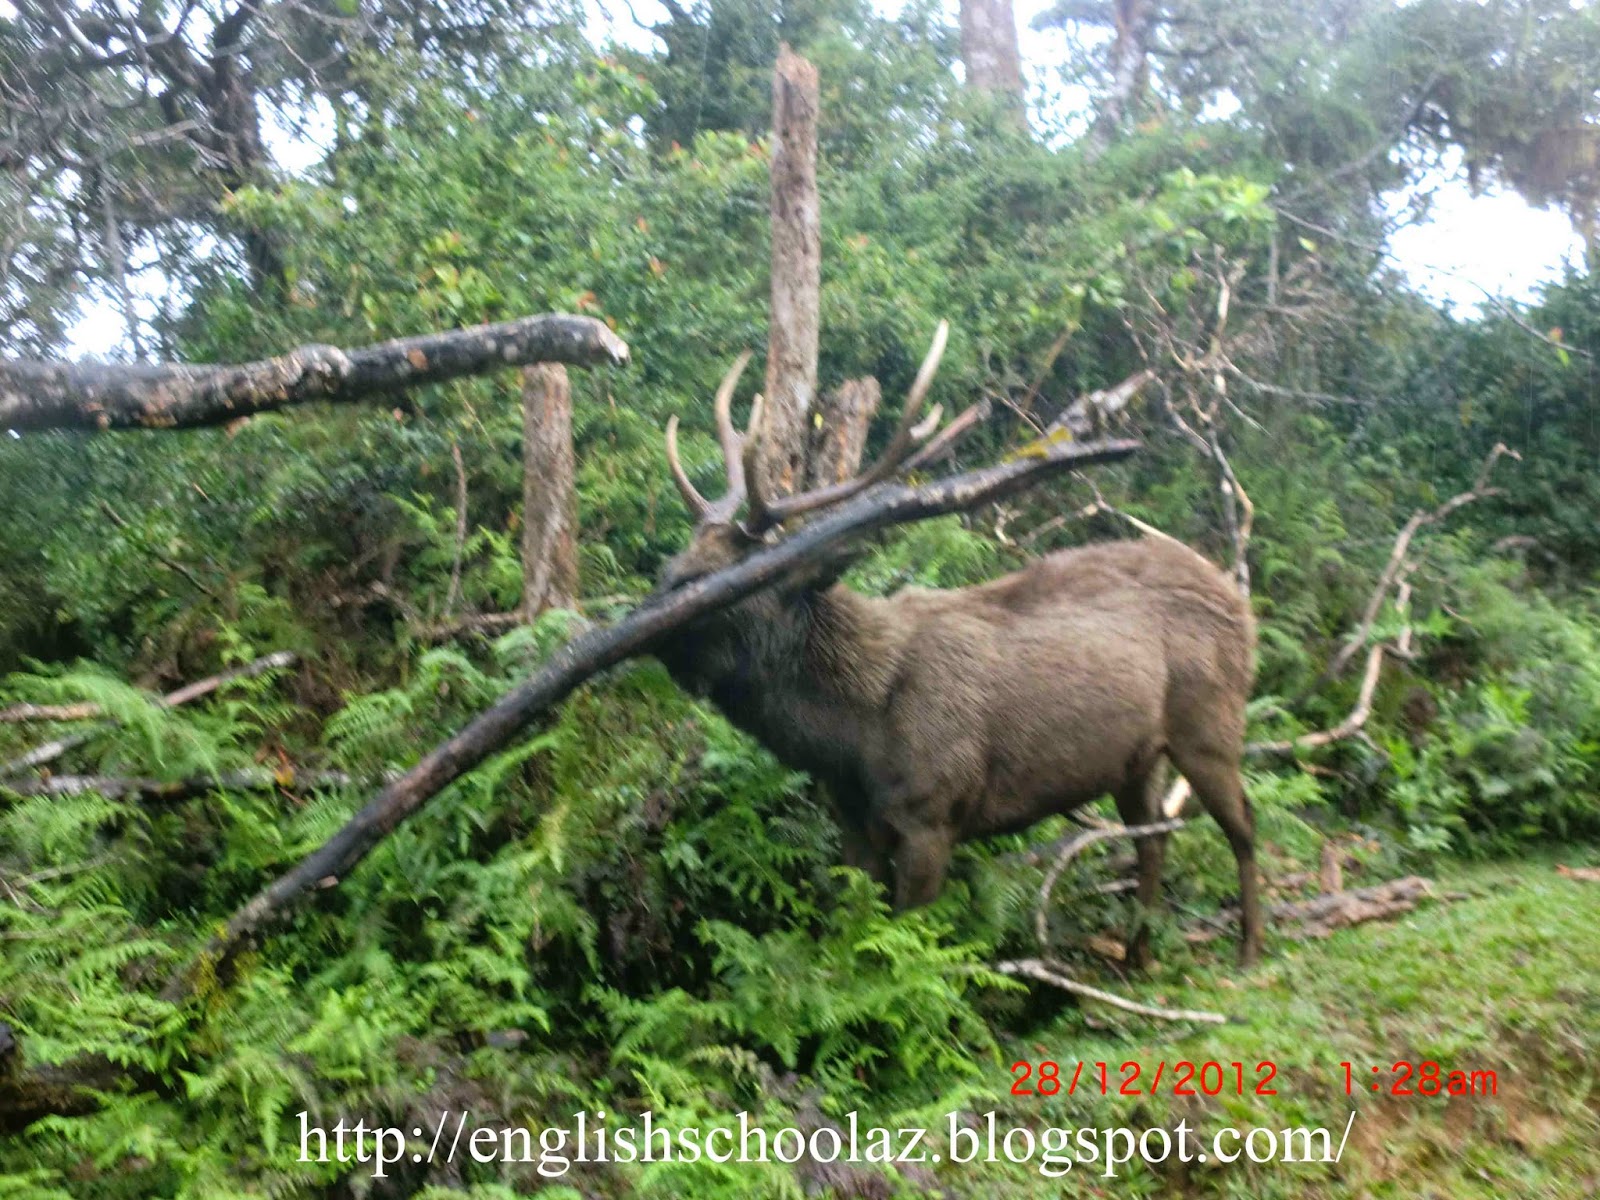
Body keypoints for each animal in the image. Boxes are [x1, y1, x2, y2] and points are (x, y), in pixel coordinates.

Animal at [649, 326, 1260, 966]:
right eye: (674, 566)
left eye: (723, 585)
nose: (649, 611)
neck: (850, 736)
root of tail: (1240, 601)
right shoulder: (853, 821)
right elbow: (855, 935)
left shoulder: (932, 813)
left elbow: (906, 945)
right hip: (1137, 758)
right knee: (1154, 835)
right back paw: (1137, 957)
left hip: (1210, 722)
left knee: (1243, 822)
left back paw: (1248, 951)